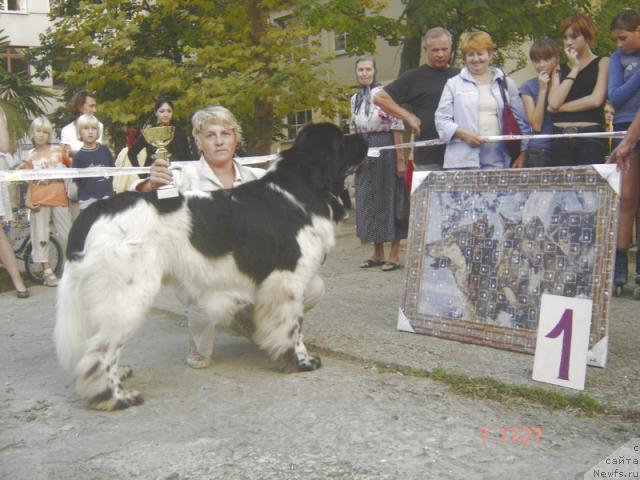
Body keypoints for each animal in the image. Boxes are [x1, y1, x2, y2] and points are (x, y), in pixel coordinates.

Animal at [57, 123, 368, 408]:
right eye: (341, 138)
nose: (364, 135)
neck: (300, 186)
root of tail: (96, 211)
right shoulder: (287, 280)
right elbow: (293, 327)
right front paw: (301, 361)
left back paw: (120, 375)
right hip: (127, 294)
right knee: (101, 350)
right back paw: (114, 397)